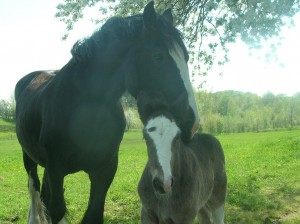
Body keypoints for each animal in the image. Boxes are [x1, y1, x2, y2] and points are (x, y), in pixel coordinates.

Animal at [15, 2, 199, 224]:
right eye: (158, 56)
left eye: (186, 57)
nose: (192, 123)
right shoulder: (56, 169)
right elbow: (56, 208)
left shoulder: (105, 170)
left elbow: (92, 213)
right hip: (29, 157)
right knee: (34, 191)